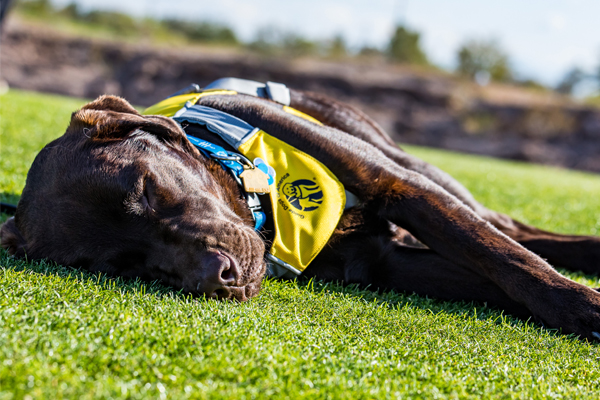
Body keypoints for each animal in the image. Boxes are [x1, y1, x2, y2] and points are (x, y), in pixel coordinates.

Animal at [1, 79, 600, 340]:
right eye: (124, 265)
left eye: (146, 189)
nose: (219, 278)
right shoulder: (386, 264)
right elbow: (498, 278)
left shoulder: (398, 186)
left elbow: (508, 260)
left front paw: (583, 308)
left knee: (512, 229)